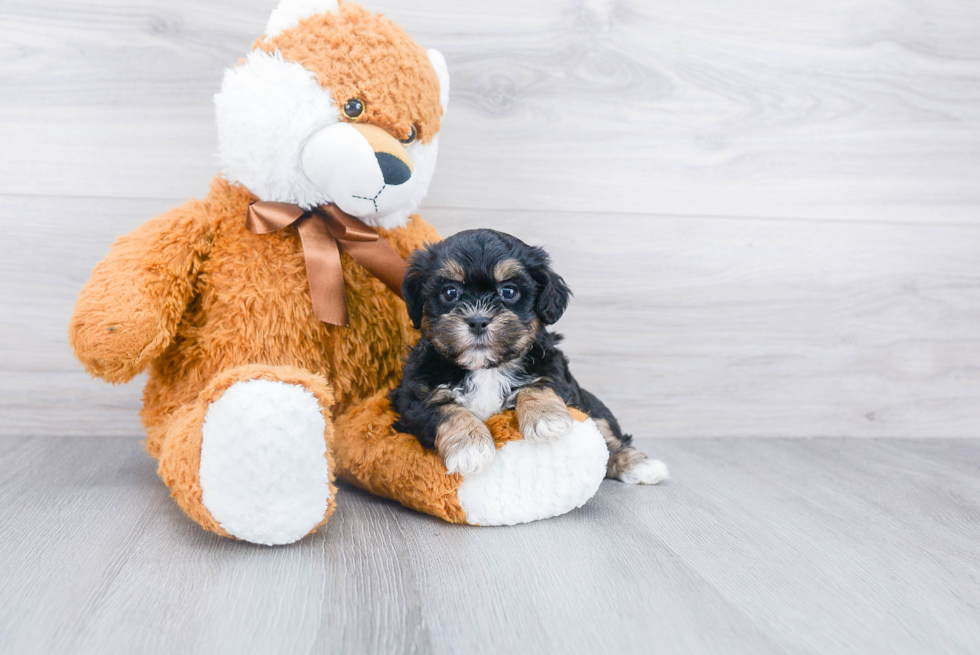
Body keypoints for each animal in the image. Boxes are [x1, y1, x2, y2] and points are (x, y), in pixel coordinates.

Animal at [388, 228, 668, 484]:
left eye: (509, 292)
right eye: (449, 292)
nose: (478, 320)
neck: (486, 368)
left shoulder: (552, 368)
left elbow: (539, 384)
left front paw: (548, 420)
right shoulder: (414, 396)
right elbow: (445, 409)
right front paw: (471, 448)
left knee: (608, 435)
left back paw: (640, 466)